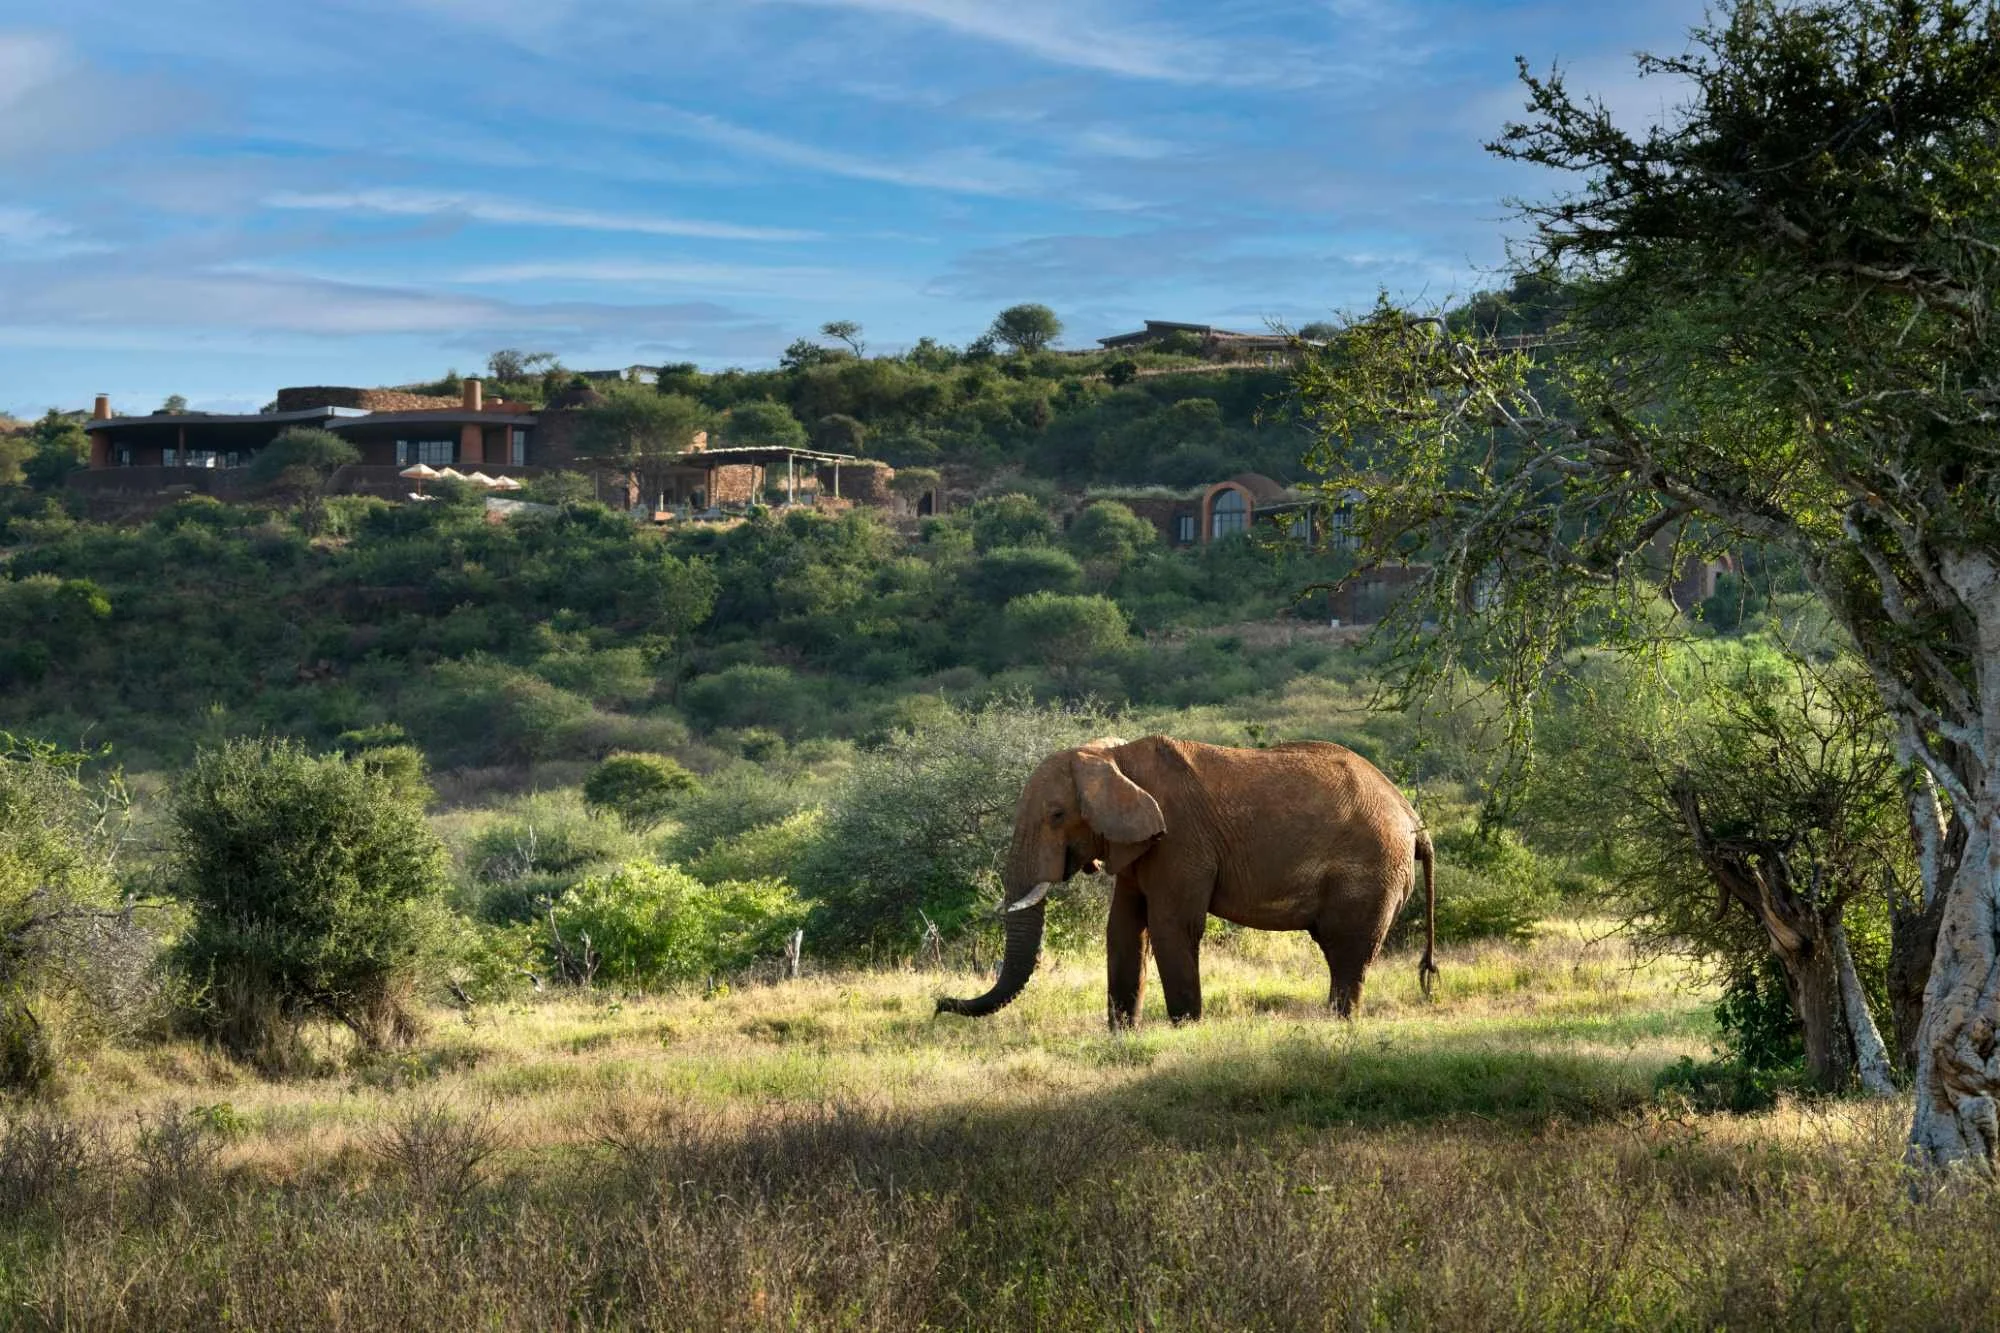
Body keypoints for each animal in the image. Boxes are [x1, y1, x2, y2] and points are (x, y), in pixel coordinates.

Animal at [937, 735, 1437, 1028]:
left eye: (1057, 816)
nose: (940, 1003)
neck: (1114, 757)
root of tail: (1414, 819)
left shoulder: (1179, 840)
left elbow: (1171, 927)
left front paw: (1185, 1029)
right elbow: (1123, 929)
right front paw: (1123, 1033)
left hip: (1372, 870)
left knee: (1346, 950)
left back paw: (1338, 1023)